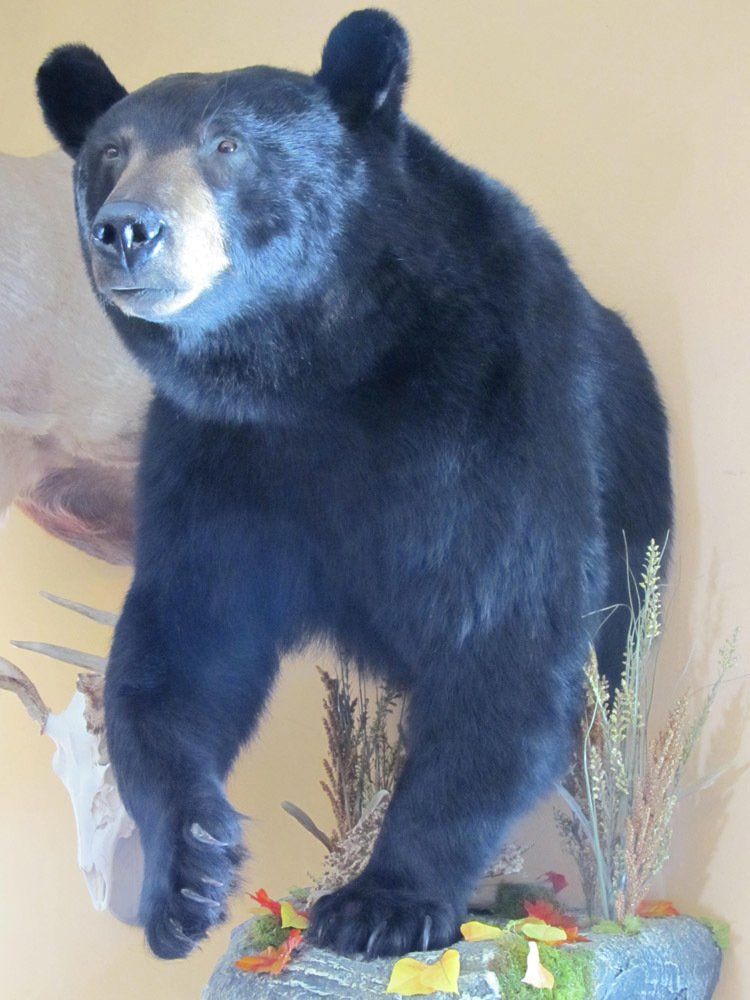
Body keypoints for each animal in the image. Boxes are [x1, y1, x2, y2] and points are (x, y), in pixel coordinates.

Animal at [36, 9, 671, 960]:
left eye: (227, 144)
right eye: (112, 151)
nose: (127, 229)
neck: (323, 367)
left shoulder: (497, 405)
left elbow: (507, 630)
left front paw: (381, 901)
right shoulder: (221, 459)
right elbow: (184, 639)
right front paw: (188, 873)